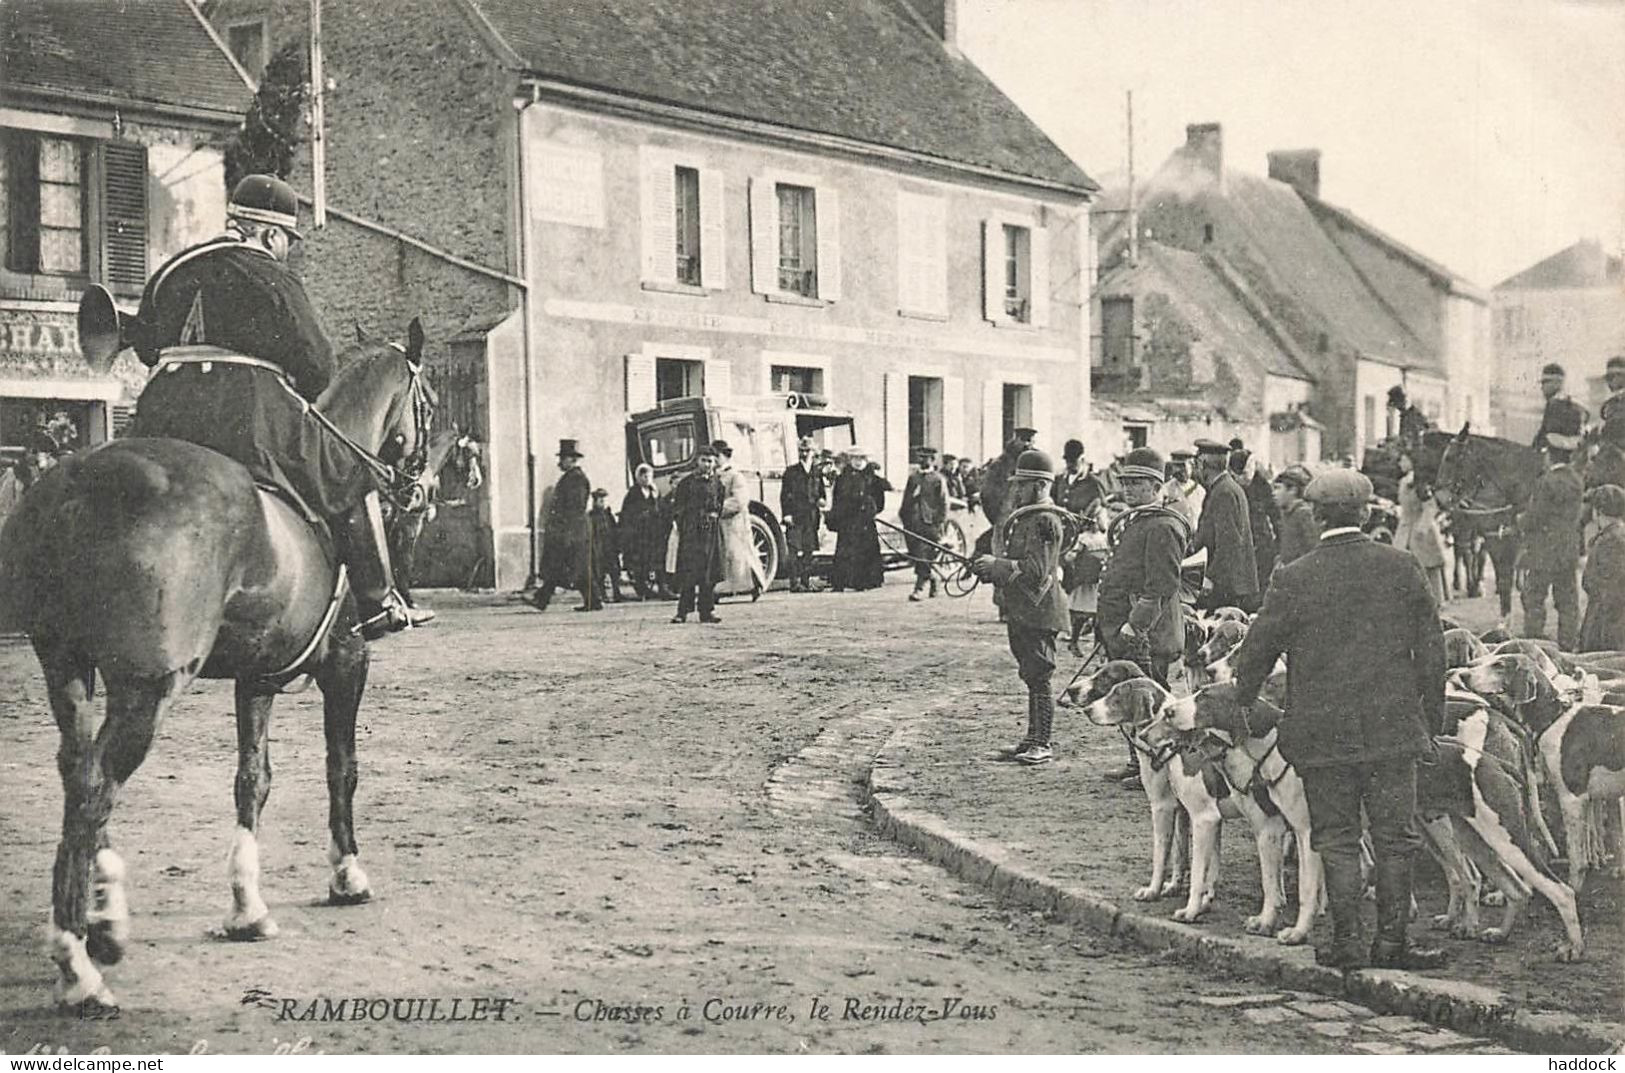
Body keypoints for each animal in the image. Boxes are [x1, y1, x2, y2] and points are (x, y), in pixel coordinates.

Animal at [0, 323, 435, 1020]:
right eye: (429, 404)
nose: (419, 492)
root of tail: (77, 482)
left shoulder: (255, 679)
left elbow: (251, 781)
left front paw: (246, 907)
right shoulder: (347, 664)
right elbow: (342, 768)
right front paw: (346, 874)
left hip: (69, 669)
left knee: (77, 774)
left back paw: (103, 917)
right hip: (148, 686)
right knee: (95, 785)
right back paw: (77, 967)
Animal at [1144, 682, 1319, 942]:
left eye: (1205, 696)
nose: (1169, 711)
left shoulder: (1304, 831)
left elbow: (1304, 888)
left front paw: (1297, 932)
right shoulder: (1267, 828)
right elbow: (1270, 883)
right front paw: (1266, 921)